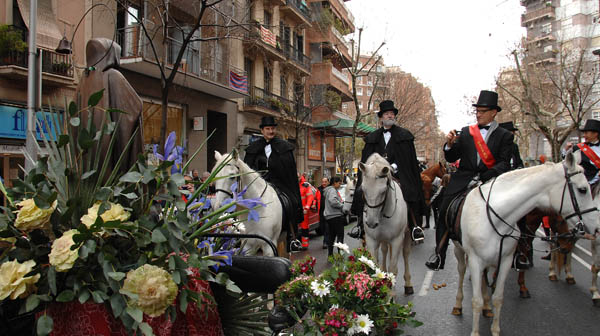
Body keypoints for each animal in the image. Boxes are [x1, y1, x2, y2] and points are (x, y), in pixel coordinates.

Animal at [354, 154, 414, 294]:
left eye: (383, 191)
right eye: (363, 189)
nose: (371, 222)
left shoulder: (397, 240)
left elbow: (393, 269)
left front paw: (391, 294)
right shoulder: (371, 240)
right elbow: (374, 267)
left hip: (407, 234)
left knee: (406, 254)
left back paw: (408, 284)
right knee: (385, 250)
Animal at [452, 152, 596, 336]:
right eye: (583, 189)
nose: (596, 227)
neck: (498, 217)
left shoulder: (506, 260)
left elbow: (498, 297)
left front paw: (495, 328)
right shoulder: (475, 261)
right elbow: (475, 301)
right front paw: (475, 331)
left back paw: (487, 307)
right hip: (459, 251)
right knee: (462, 271)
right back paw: (458, 305)